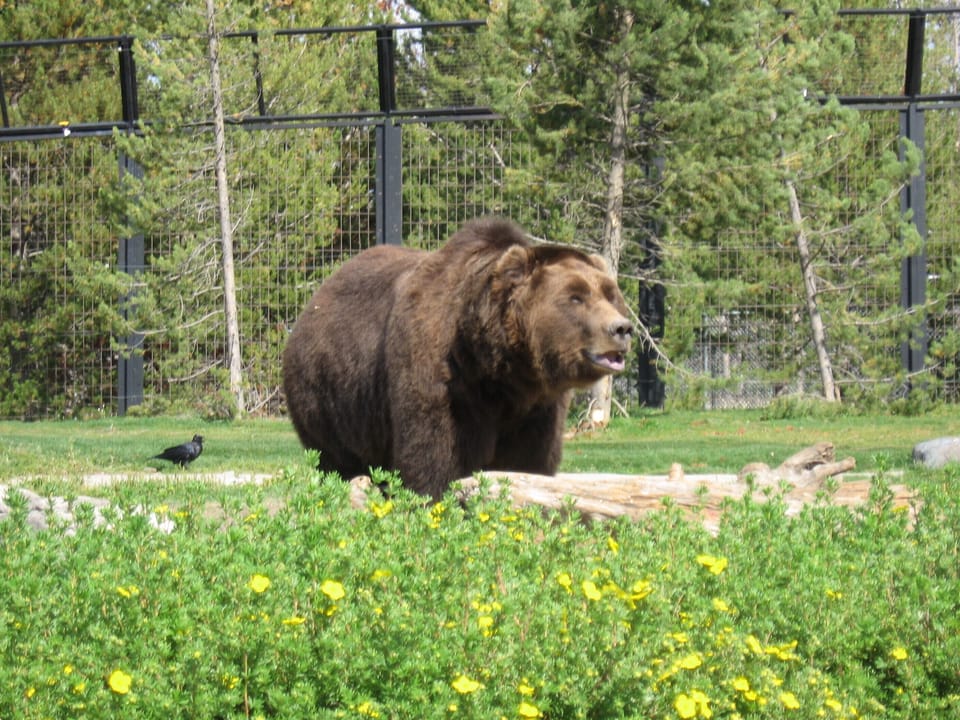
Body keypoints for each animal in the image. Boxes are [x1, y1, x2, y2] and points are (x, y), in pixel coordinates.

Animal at [282, 217, 633, 499]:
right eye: (575, 297)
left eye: (609, 293)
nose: (622, 328)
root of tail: (318, 296)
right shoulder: (445, 382)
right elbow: (437, 457)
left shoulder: (537, 407)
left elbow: (529, 459)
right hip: (329, 399)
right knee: (335, 459)